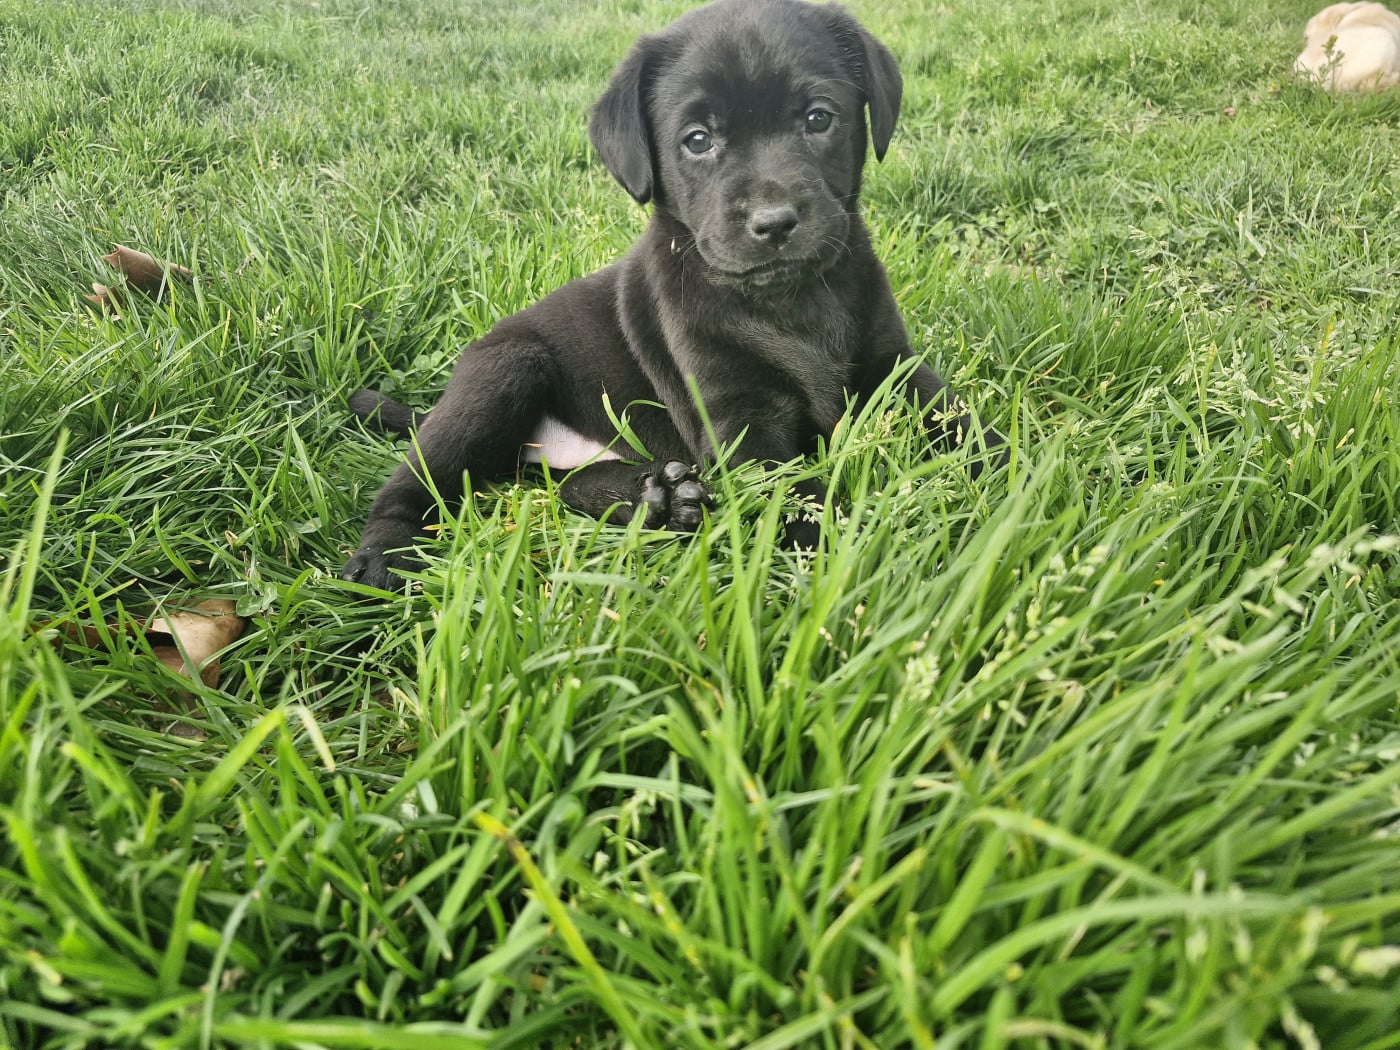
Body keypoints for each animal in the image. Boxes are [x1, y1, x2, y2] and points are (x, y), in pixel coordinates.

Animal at [341, 0, 1006, 590]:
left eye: (819, 119)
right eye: (697, 140)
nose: (774, 222)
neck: (786, 302)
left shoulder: (896, 366)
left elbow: (964, 423)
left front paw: (1017, 477)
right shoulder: (739, 421)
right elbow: (801, 500)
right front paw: (857, 560)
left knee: (564, 487)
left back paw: (655, 496)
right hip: (503, 372)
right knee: (415, 480)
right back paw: (383, 556)